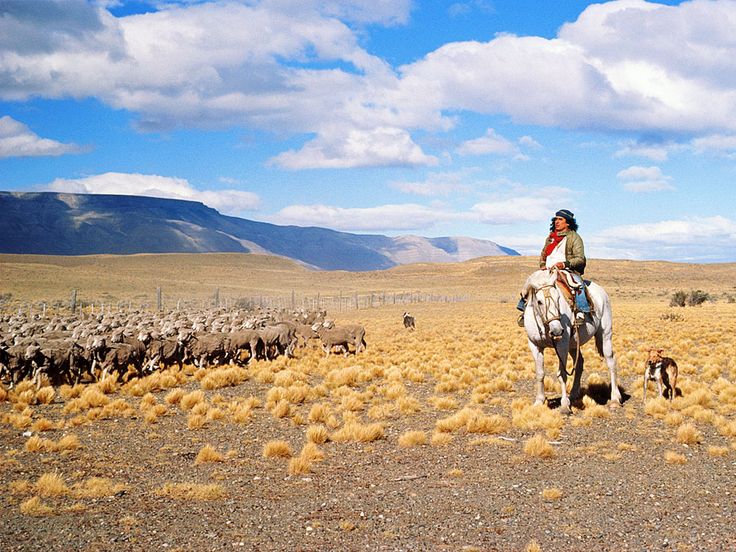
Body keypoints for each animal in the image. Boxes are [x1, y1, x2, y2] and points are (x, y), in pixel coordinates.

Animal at [524, 268, 620, 414]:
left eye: (558, 298)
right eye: (539, 301)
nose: (557, 331)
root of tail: (602, 293)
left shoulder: (562, 345)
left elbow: (562, 374)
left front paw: (564, 406)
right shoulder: (535, 346)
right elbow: (540, 373)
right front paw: (539, 401)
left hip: (605, 336)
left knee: (611, 362)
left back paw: (615, 399)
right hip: (574, 345)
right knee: (579, 363)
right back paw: (573, 395)